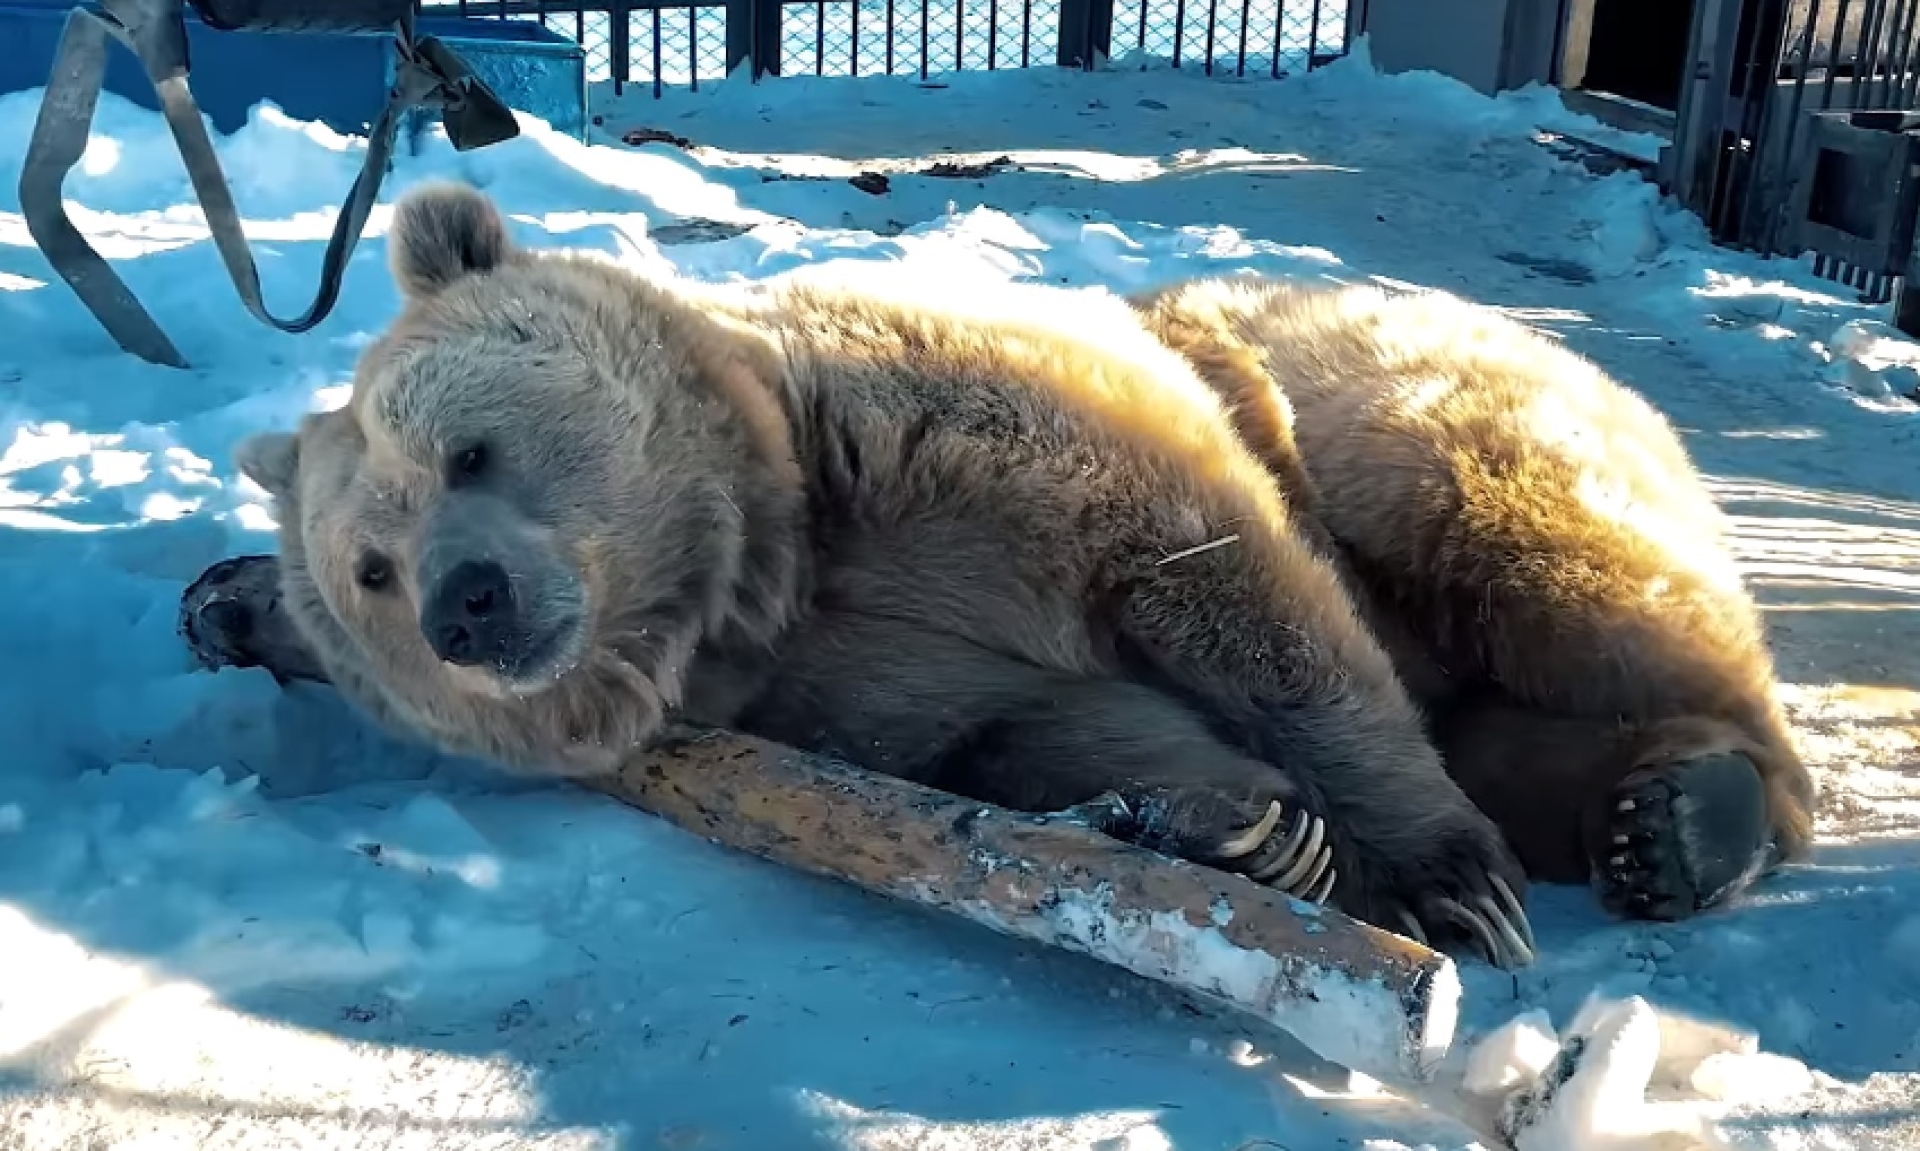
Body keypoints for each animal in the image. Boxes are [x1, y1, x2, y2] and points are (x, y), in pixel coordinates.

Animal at [232, 184, 1536, 968]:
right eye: (371, 568)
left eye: (468, 450)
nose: (468, 603)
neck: (765, 552)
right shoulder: (835, 676)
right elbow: (1024, 729)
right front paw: (1252, 832)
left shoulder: (960, 440)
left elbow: (1231, 588)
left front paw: (1455, 879)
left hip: (1340, 393)